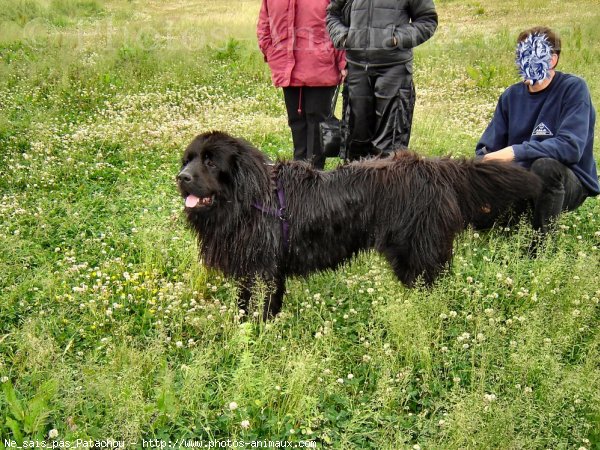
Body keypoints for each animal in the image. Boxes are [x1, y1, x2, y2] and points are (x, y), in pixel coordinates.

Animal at [176, 131, 540, 320]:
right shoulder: (254, 269)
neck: (249, 199)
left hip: (416, 254)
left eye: (211, 162)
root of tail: (434, 168)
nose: (181, 177)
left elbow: (263, 310)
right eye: (188, 159)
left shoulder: (266, 269)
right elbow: (246, 304)